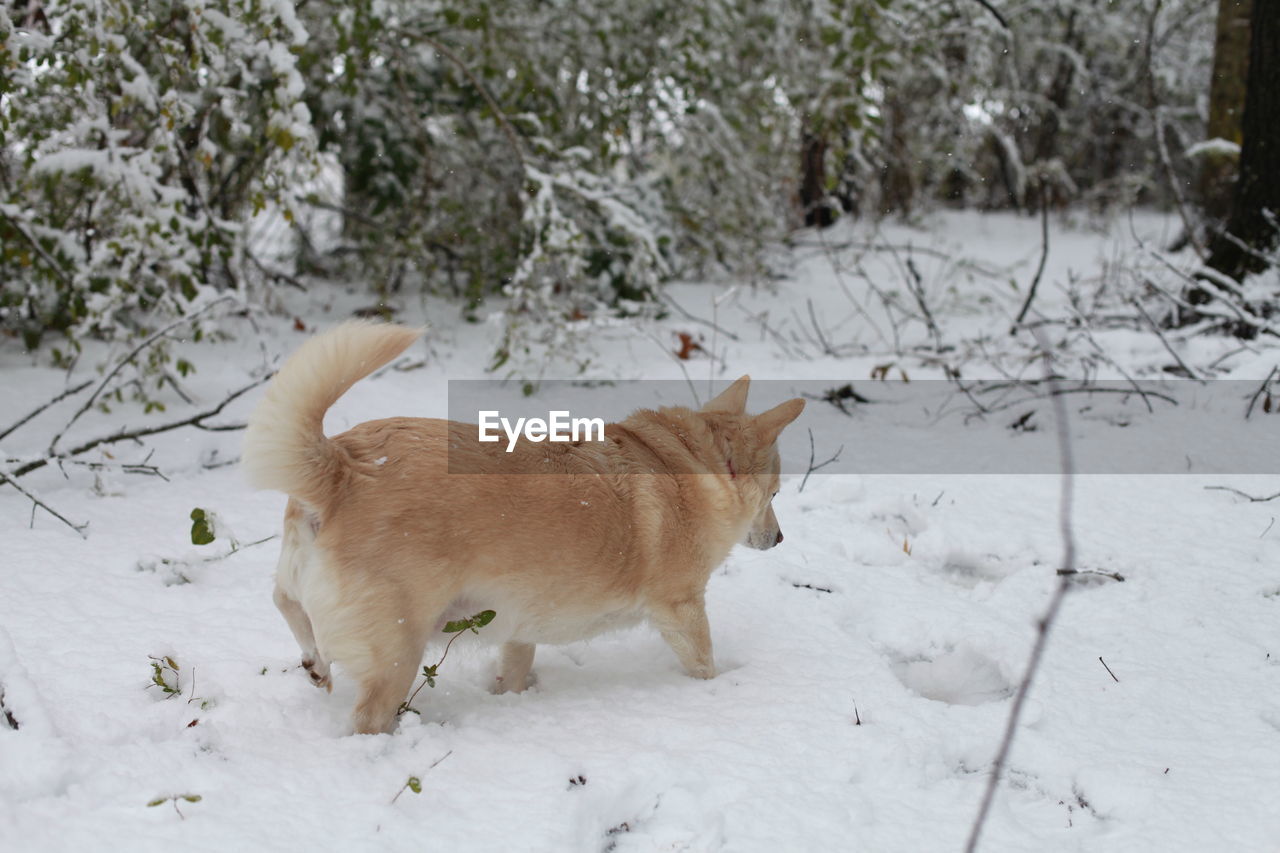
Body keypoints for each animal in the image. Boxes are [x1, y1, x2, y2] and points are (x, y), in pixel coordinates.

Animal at [241, 320, 798, 732]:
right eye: (775, 494)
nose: (779, 539)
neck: (689, 463)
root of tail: (342, 466)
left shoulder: (519, 623)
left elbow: (514, 667)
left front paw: (509, 696)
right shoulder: (681, 608)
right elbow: (704, 662)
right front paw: (714, 691)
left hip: (316, 595)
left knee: (284, 602)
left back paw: (314, 661)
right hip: (398, 653)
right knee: (367, 719)